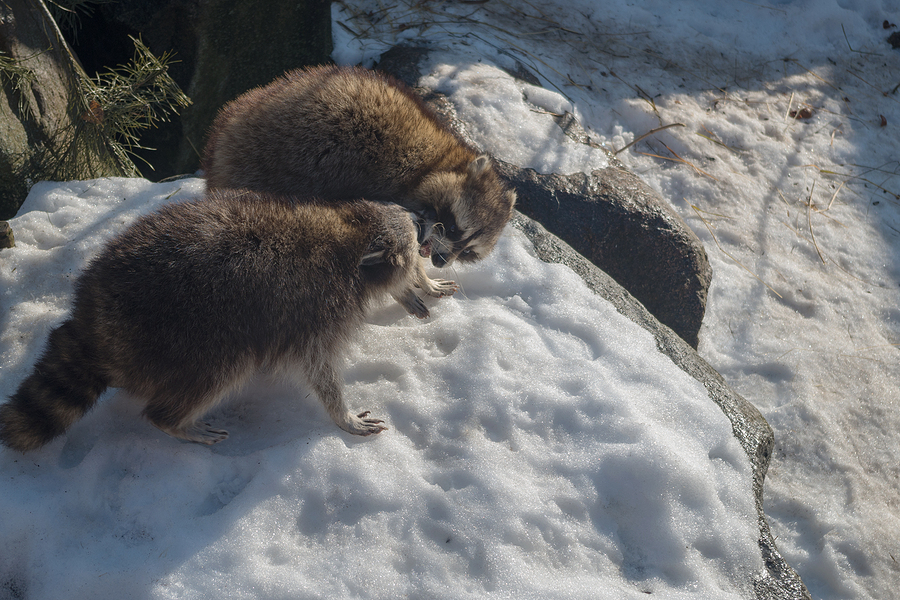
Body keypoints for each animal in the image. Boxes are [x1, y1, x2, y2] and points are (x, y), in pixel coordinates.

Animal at [0, 190, 456, 452]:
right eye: (415, 226)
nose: (431, 221)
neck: (349, 235)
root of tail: (92, 319)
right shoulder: (315, 312)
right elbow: (318, 368)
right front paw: (340, 414)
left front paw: (418, 286)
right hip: (186, 337)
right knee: (220, 370)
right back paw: (173, 421)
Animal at [201, 64, 516, 268]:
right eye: (453, 229)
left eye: (469, 253)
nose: (441, 262)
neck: (436, 162)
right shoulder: (384, 166)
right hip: (271, 157)